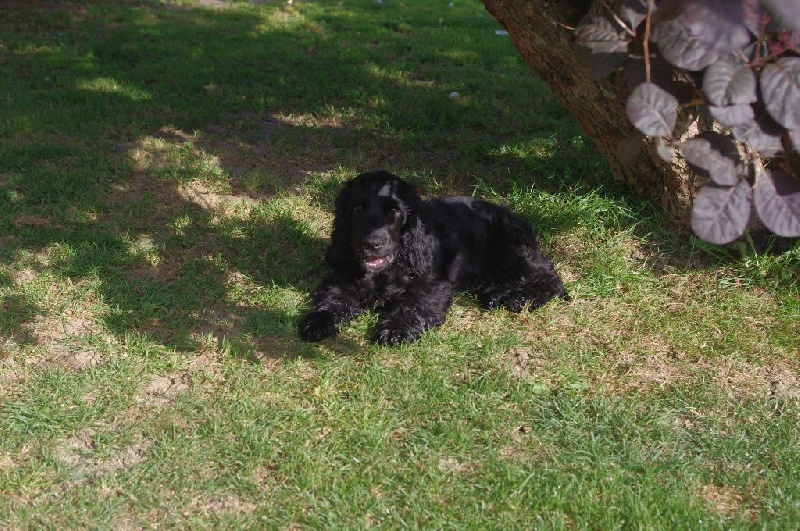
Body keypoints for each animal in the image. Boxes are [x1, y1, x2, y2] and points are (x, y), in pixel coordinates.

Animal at [300, 170, 568, 344]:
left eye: (394, 211)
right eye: (357, 209)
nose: (371, 244)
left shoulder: (432, 284)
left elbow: (415, 305)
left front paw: (394, 330)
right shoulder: (343, 275)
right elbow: (333, 298)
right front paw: (317, 322)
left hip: (512, 248)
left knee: (549, 278)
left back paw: (514, 297)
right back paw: (497, 293)